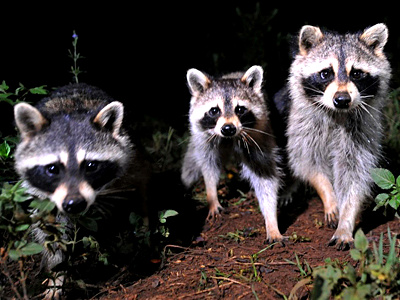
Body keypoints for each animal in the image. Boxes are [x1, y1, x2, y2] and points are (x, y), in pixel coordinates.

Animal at [14, 83, 150, 298]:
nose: (74, 203)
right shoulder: (44, 196)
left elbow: (139, 192)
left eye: (91, 166)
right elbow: (53, 234)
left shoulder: (130, 161)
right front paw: (57, 275)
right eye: (53, 168)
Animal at [182, 65, 284, 241]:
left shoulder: (260, 137)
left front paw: (271, 220)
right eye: (214, 110)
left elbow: (265, 178)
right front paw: (211, 195)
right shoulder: (204, 138)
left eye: (240, 109)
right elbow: (209, 166)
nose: (228, 128)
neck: (230, 138)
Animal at [274, 23, 392, 248]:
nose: (342, 99)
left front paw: (346, 219)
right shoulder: (303, 125)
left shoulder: (362, 131)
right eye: (326, 73)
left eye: (357, 73)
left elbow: (355, 175)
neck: (337, 113)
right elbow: (308, 164)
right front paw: (327, 194)